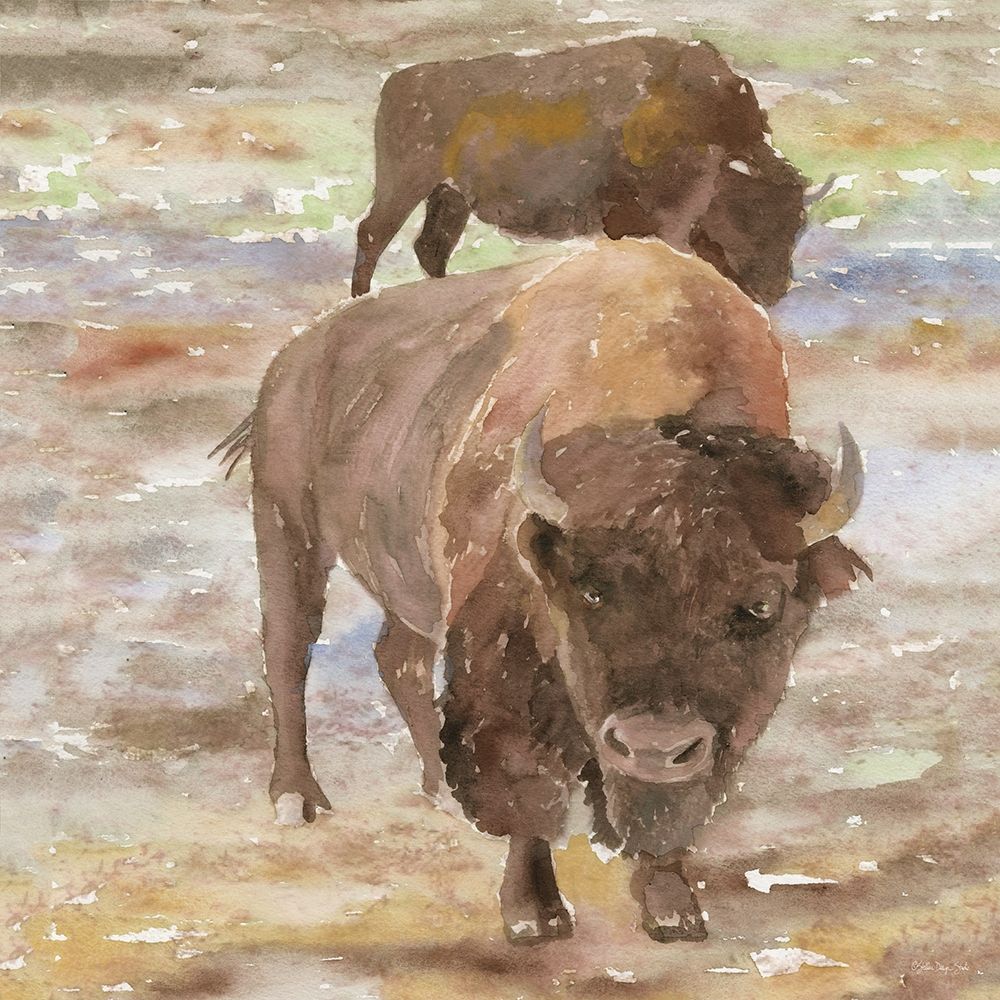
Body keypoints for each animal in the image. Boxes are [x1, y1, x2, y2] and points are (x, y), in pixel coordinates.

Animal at [217, 239, 870, 944]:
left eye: (760, 604)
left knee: (398, 659)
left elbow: (679, 797)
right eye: (589, 591)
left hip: (404, 586)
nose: (654, 744)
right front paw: (534, 915)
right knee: (288, 651)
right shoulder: (498, 660)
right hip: (287, 526)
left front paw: (672, 908)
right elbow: (524, 782)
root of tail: (298, 353)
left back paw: (439, 794)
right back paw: (297, 799)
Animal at [352, 37, 810, 306]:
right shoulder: (669, 222)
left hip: (449, 196)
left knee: (431, 247)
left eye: (798, 222)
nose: (774, 290)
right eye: (752, 213)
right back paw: (358, 299)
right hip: (407, 185)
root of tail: (399, 81)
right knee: (374, 234)